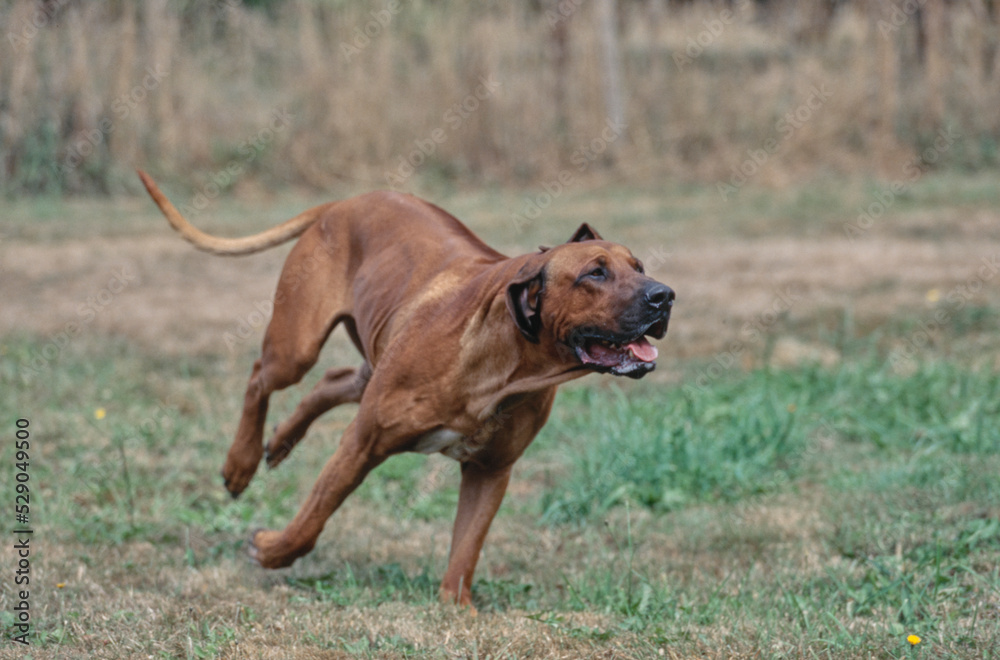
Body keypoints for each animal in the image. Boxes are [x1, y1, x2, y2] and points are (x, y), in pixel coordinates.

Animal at [139, 169, 672, 608]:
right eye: (594, 273)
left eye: (640, 266)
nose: (664, 295)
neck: (505, 363)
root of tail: (344, 202)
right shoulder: (361, 443)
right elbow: (314, 517)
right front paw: (272, 551)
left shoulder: (491, 470)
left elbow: (466, 548)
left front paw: (457, 608)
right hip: (295, 348)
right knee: (260, 377)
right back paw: (241, 463)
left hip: (374, 357)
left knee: (334, 380)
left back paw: (282, 441)